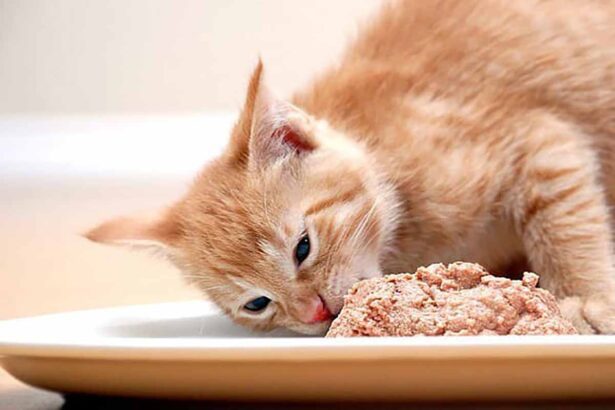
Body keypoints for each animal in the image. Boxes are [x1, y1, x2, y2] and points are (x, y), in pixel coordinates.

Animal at [85, 0, 615, 334]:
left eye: (302, 248)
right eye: (257, 303)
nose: (315, 313)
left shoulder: (539, 144)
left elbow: (567, 227)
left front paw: (589, 297)